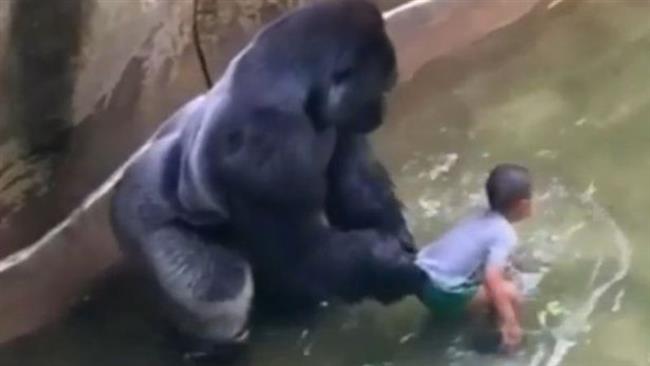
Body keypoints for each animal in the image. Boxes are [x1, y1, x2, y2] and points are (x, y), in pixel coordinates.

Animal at [110, 0, 426, 358]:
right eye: (380, 88)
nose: (381, 113)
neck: (291, 81)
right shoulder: (268, 148)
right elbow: (301, 252)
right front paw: (389, 269)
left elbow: (354, 187)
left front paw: (395, 233)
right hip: (136, 223)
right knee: (219, 289)